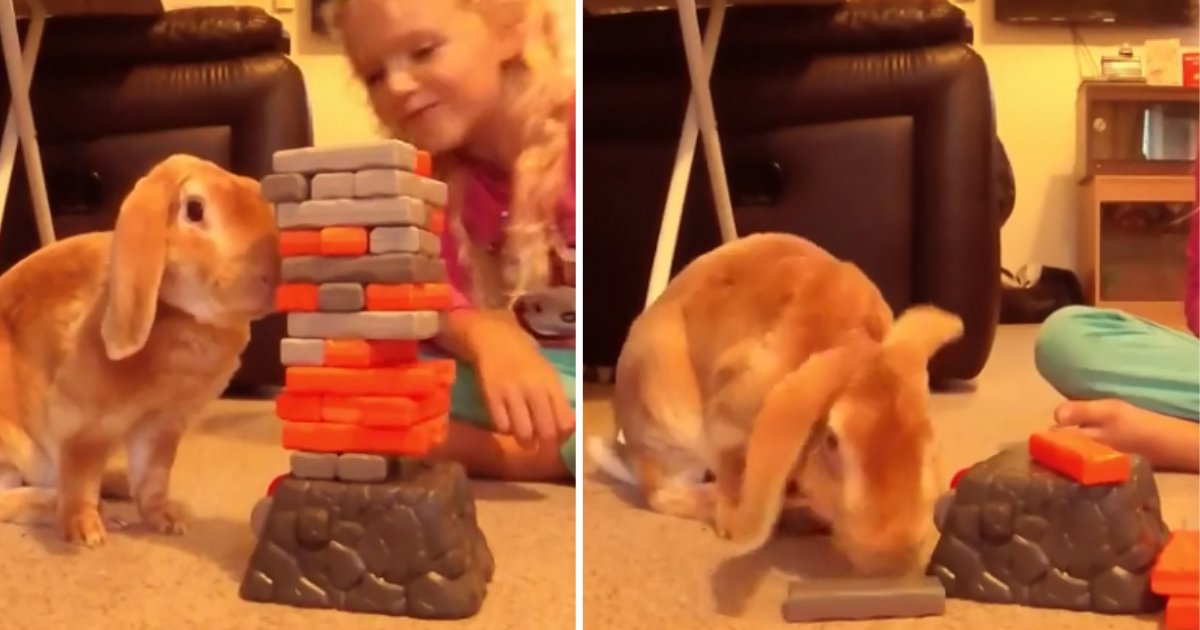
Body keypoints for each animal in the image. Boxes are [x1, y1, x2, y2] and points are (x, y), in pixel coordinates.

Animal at [0, 153, 278, 544]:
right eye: (195, 210)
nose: (271, 276)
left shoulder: (161, 426)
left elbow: (153, 478)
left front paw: (169, 520)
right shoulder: (82, 426)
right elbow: (79, 477)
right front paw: (85, 532)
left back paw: (117, 485)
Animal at [590, 230, 964, 573]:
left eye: (928, 439)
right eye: (832, 440)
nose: (896, 551)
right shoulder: (729, 422)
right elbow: (733, 477)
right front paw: (735, 525)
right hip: (668, 417)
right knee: (664, 493)